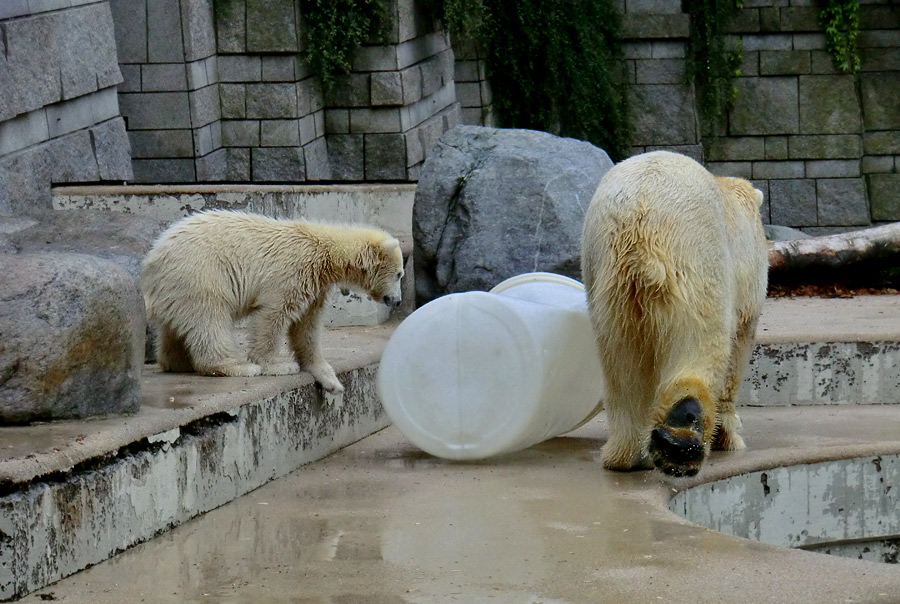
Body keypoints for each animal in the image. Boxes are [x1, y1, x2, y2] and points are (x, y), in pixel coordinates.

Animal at [142, 210, 404, 394]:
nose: (398, 301)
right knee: (210, 318)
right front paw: (275, 365)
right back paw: (236, 367)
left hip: (177, 288)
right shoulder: (293, 271)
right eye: (400, 274)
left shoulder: (316, 284)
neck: (325, 250)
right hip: (199, 274)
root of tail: (151, 261)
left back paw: (177, 362)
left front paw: (330, 380)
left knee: (178, 326)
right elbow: (274, 314)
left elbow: (307, 326)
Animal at [584, 151, 768, 476]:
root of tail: (639, 211)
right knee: (703, 341)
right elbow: (739, 346)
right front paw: (729, 436)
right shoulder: (747, 276)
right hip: (696, 258)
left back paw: (626, 455)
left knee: (620, 358)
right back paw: (681, 439)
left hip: (605, 276)